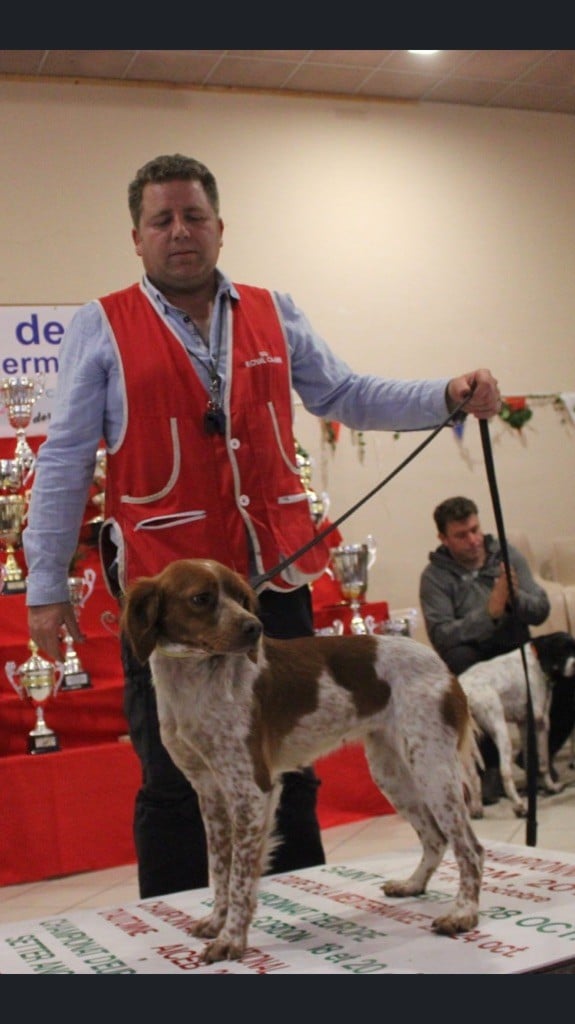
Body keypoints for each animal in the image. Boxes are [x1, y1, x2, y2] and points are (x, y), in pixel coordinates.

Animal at [120, 557, 482, 962]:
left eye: (240, 597)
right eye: (201, 598)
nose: (254, 628)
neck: (195, 681)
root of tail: (441, 664)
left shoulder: (251, 789)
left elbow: (241, 878)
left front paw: (231, 939)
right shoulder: (210, 792)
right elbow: (219, 869)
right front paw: (216, 922)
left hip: (432, 768)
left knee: (470, 847)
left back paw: (462, 913)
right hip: (392, 772)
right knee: (435, 837)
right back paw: (413, 884)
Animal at [458, 626, 572, 819]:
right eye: (564, 651)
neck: (537, 658)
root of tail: (465, 690)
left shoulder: (524, 723)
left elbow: (530, 762)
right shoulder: (541, 722)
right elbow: (543, 763)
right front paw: (551, 787)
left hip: (468, 743)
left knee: (473, 775)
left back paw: (477, 808)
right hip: (500, 730)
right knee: (505, 771)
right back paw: (519, 806)